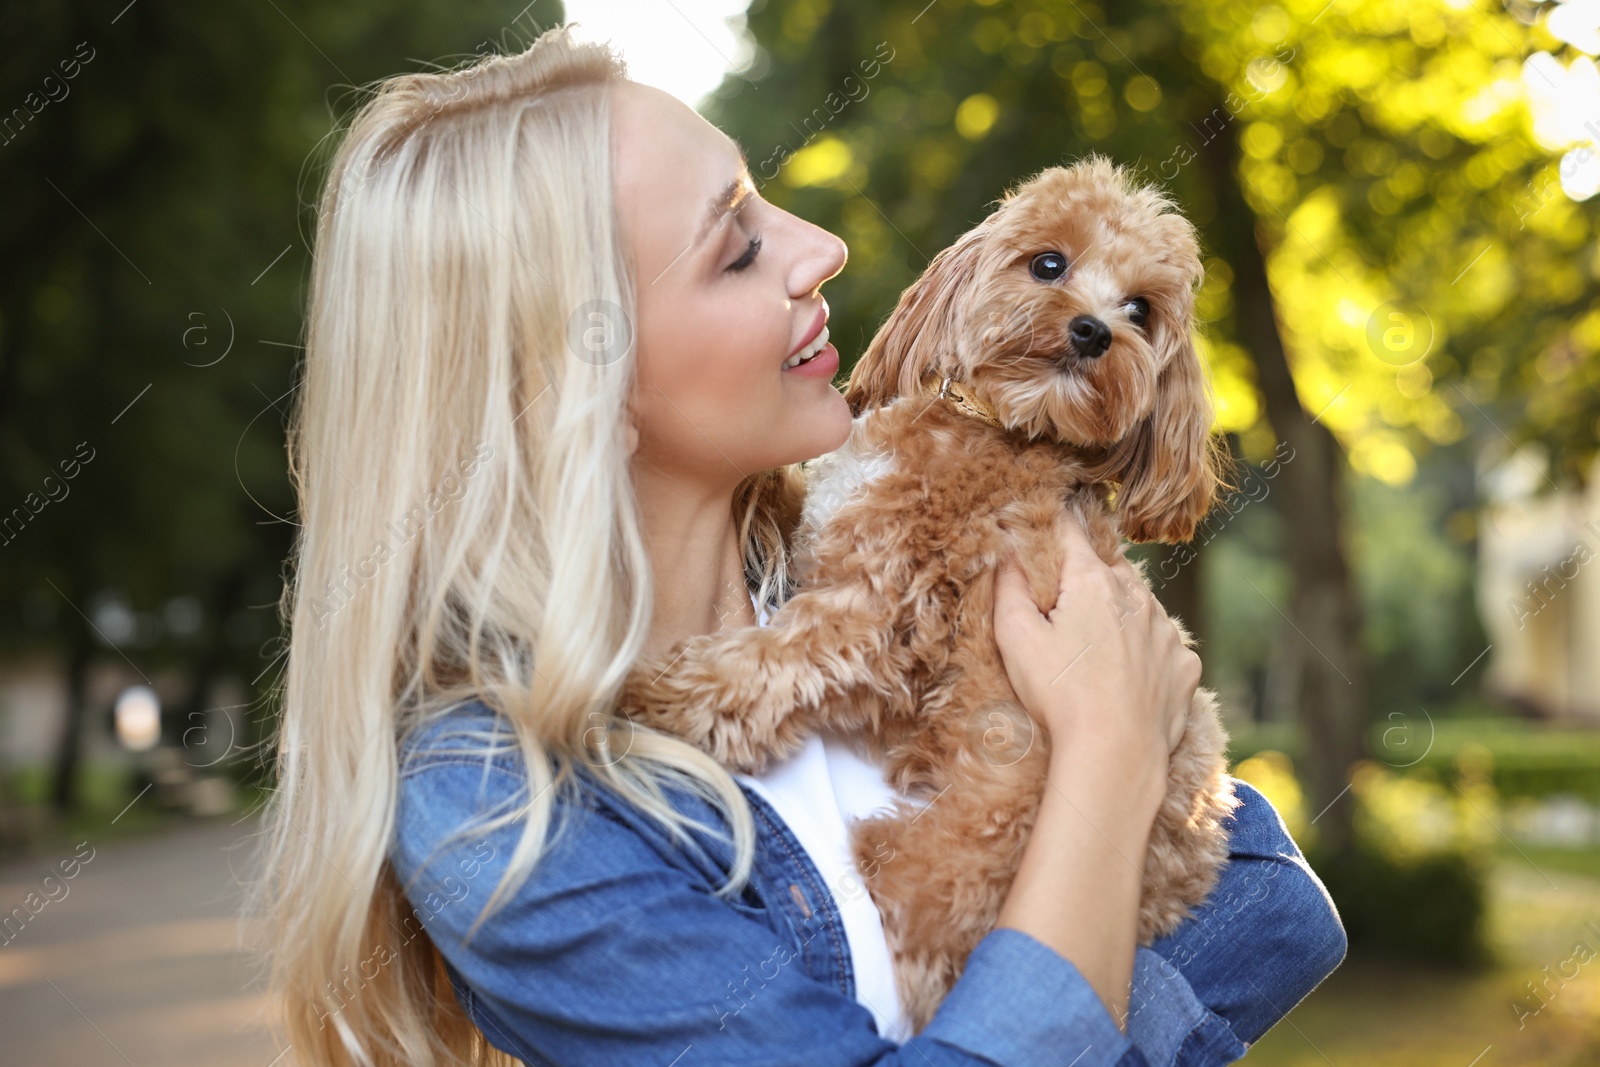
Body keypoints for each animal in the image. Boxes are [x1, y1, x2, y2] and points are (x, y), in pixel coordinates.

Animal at [620, 154, 1235, 1030]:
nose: (1093, 331)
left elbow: (761, 661)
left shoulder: (878, 616)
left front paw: (645, 693)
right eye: (1050, 263)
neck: (996, 426)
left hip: (926, 867)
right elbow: (790, 507)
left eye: (1140, 312)